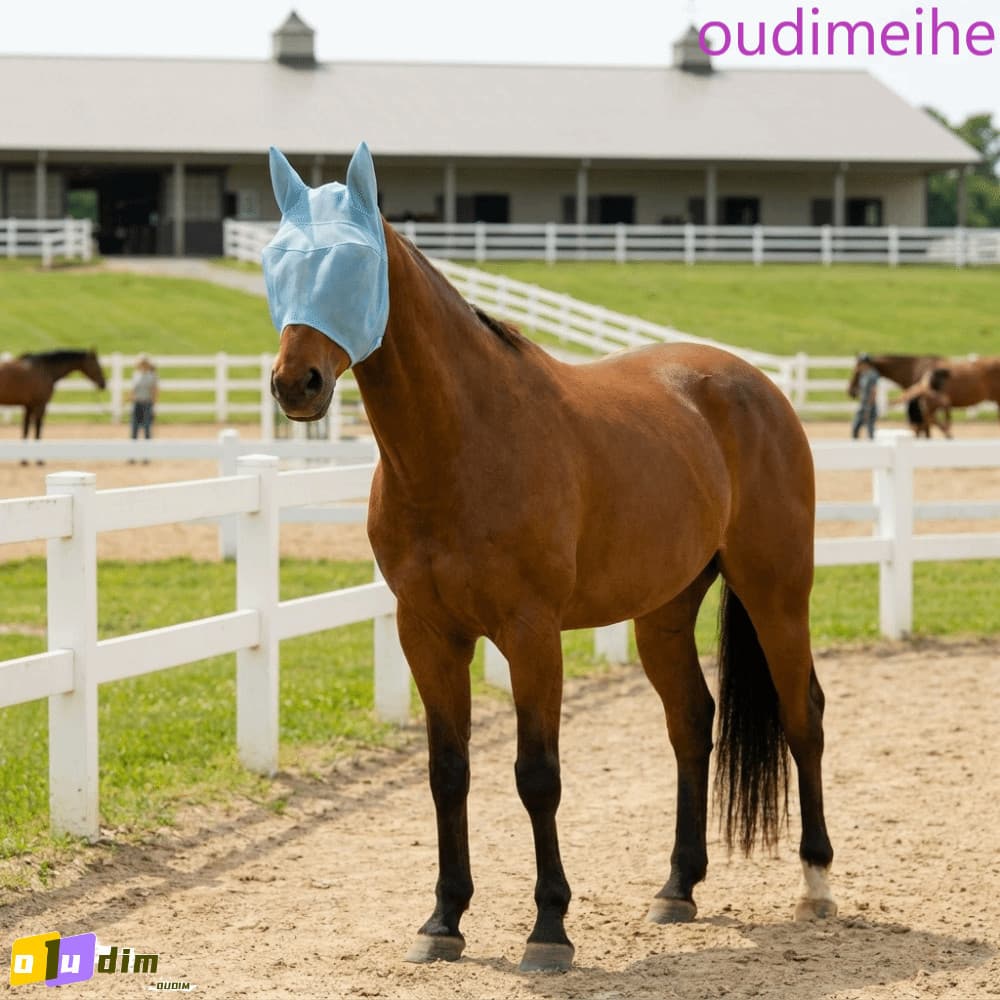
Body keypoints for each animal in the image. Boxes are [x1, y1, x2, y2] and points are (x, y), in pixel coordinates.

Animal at [265, 144, 836, 973]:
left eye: (354, 260)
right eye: (276, 259)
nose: (294, 383)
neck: (462, 444)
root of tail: (753, 386)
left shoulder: (531, 635)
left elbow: (537, 777)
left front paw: (548, 930)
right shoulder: (427, 633)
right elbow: (447, 773)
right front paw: (443, 921)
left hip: (776, 592)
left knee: (804, 716)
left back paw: (817, 882)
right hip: (665, 611)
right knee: (691, 722)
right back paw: (677, 887)